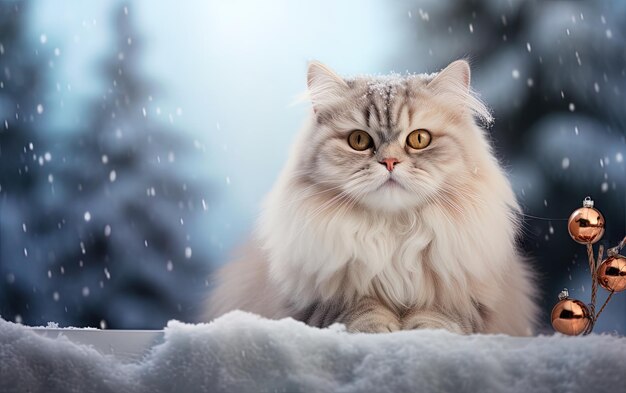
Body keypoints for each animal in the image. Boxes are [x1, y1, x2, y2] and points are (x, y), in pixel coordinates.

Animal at [205, 59, 536, 334]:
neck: (392, 232)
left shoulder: (464, 285)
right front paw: (376, 327)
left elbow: (441, 310)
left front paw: (426, 329)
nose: (389, 162)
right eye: (358, 140)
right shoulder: (317, 297)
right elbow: (356, 307)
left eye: (419, 139)